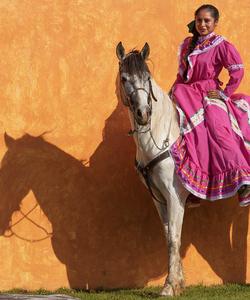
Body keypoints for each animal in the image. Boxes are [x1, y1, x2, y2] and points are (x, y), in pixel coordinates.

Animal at [115, 41, 189, 296]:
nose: (143, 114)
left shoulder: (176, 196)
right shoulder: (159, 198)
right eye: (124, 78)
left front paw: (168, 286)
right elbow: (169, 236)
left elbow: (174, 239)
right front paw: (178, 283)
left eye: (147, 77)